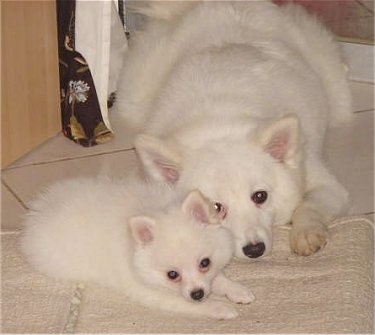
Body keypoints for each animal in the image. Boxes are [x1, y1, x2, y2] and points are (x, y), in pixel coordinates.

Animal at [20, 178, 256, 320]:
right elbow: (189, 304)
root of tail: (38, 212)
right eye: (172, 275)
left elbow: (218, 278)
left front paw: (237, 290)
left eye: (204, 263)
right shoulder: (153, 293)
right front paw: (220, 308)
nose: (197, 293)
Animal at [114, 0, 352, 260]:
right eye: (216, 207)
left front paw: (306, 232)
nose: (255, 249)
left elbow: (307, 205)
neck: (221, 119)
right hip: (132, 102)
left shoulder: (326, 183)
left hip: (336, 94)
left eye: (260, 196)